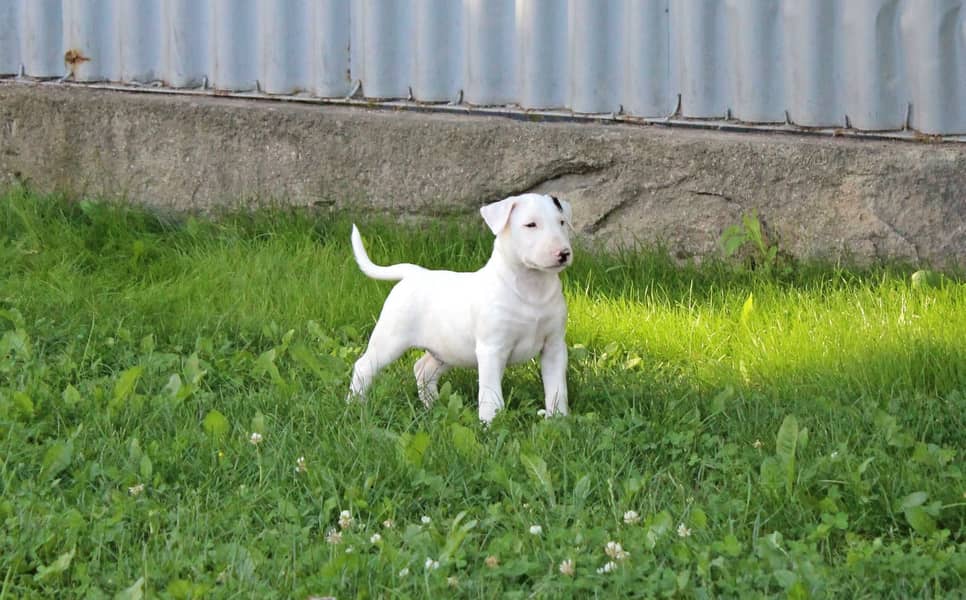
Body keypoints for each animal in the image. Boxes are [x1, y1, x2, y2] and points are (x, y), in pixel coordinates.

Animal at [350, 192, 572, 422]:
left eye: (562, 222)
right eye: (530, 225)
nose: (564, 253)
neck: (532, 289)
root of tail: (414, 273)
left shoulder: (554, 346)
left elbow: (557, 388)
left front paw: (558, 419)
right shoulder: (492, 349)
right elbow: (491, 393)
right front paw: (489, 423)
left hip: (446, 349)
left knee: (422, 369)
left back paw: (433, 407)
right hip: (390, 339)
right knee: (363, 366)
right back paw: (355, 406)